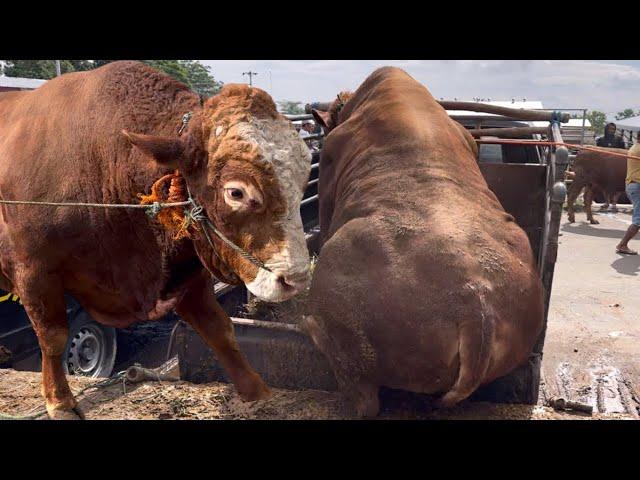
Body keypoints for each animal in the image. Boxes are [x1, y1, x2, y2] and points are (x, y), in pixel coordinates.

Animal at [0, 61, 312, 420]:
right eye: (236, 192)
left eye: (303, 179)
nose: (296, 278)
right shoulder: (33, 270)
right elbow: (53, 337)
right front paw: (60, 402)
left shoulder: (186, 272)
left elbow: (219, 329)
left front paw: (255, 389)